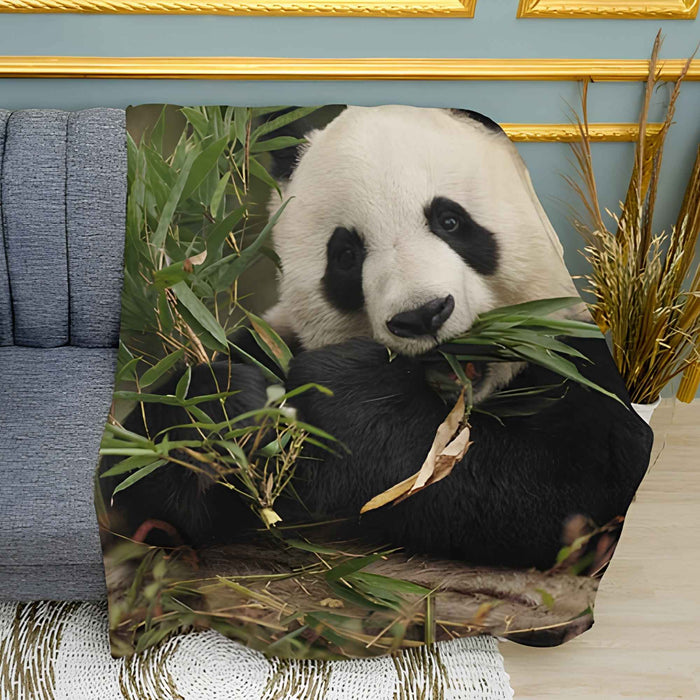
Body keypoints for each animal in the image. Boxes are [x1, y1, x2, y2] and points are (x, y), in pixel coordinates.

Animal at [102, 105, 653, 571]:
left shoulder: (573, 355)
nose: (423, 315)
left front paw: (351, 398)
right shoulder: (272, 339)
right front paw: (225, 411)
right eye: (346, 255)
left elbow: (573, 479)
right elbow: (134, 486)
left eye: (450, 220)